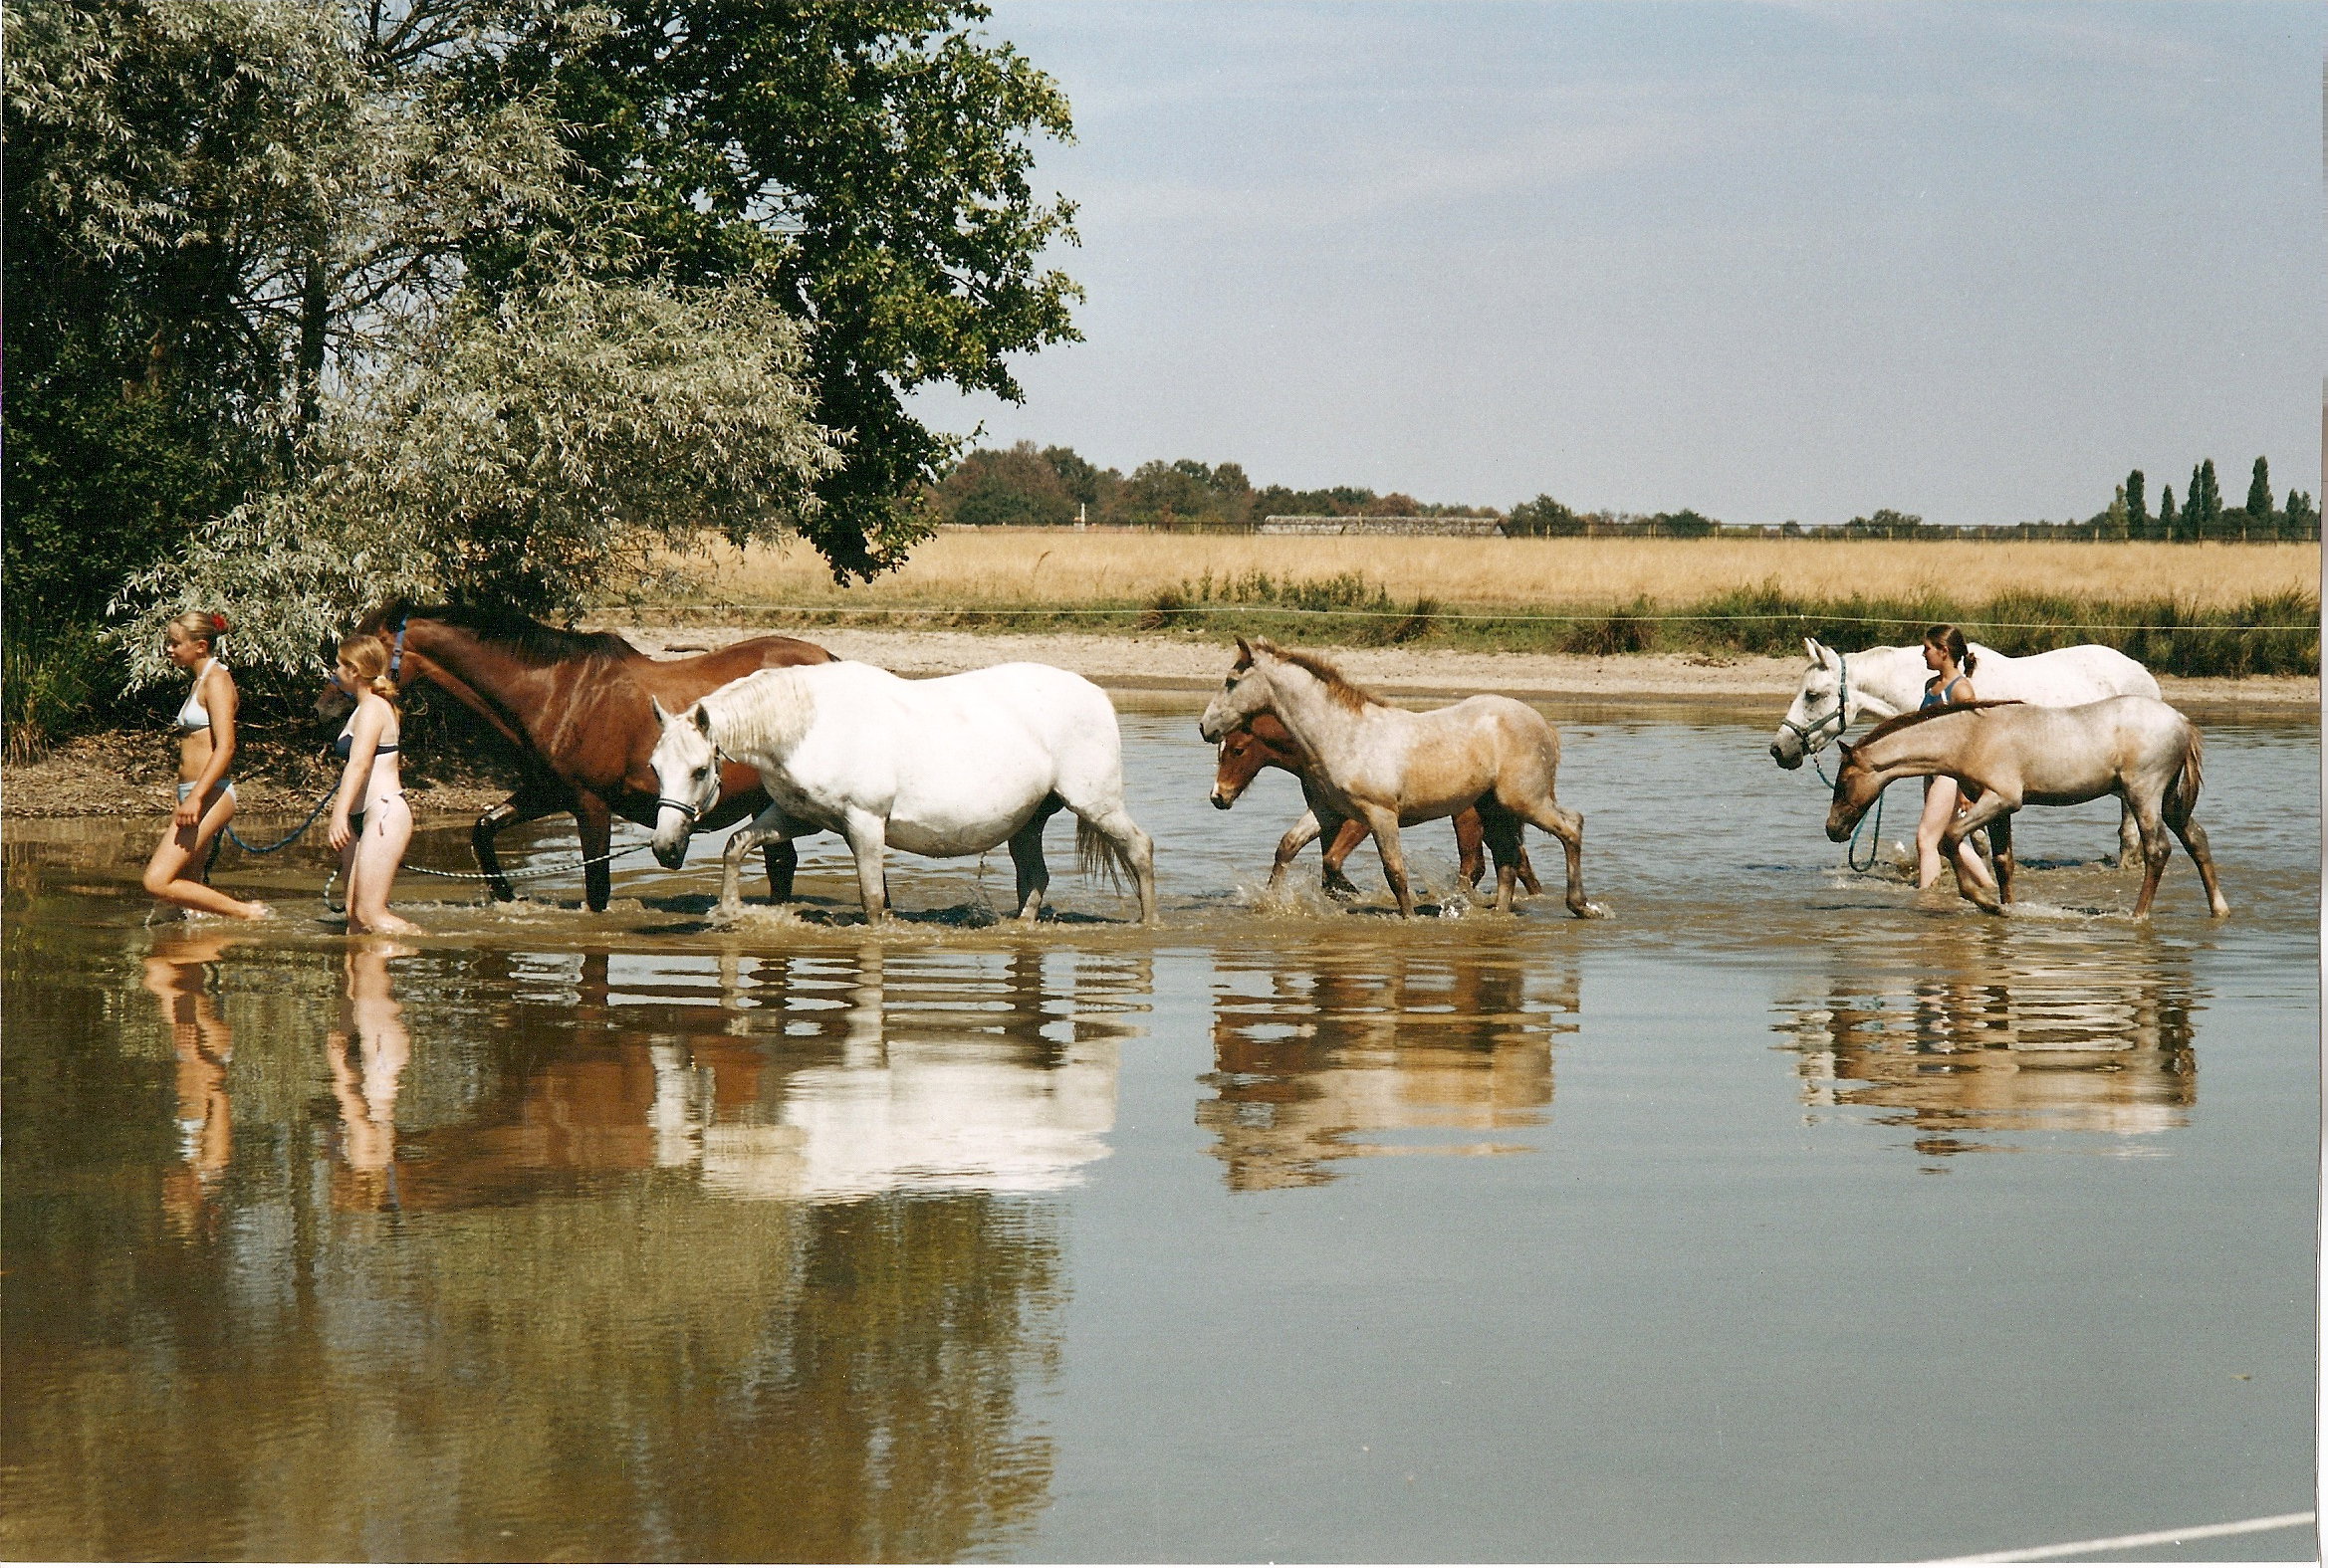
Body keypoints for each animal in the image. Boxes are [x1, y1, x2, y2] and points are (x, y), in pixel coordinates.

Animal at [340, 604, 828, 912]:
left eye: (361, 660)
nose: (331, 712)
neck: (558, 692)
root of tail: (825, 655)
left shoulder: (591, 805)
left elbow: (597, 888)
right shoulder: (550, 792)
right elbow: (483, 829)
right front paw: (506, 897)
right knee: (781, 866)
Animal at [646, 655, 1154, 921]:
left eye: (698, 770)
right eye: (655, 768)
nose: (665, 848)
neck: (813, 724)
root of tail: (1098, 695)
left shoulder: (866, 824)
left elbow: (872, 899)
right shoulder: (799, 818)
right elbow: (736, 845)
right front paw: (729, 912)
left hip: (1097, 804)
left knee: (1139, 849)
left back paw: (1149, 922)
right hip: (1028, 822)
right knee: (1035, 878)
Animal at [1201, 716, 1545, 898]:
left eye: (1238, 749)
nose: (1218, 797)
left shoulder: (1362, 819)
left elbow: (1332, 861)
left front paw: (1354, 894)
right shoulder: (1327, 815)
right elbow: (1306, 853)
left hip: (1466, 817)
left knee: (1474, 866)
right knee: (1517, 862)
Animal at [1824, 698, 2225, 916]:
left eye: (1842, 783)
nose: (1832, 829)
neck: (1970, 737)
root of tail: (2183, 722)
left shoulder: (2001, 798)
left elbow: (1949, 838)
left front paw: (1983, 901)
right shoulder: (2000, 810)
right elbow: (2004, 863)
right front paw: (2006, 908)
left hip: (2143, 795)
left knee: (2157, 850)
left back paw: (2138, 915)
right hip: (2171, 801)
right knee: (2196, 839)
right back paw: (2219, 909)